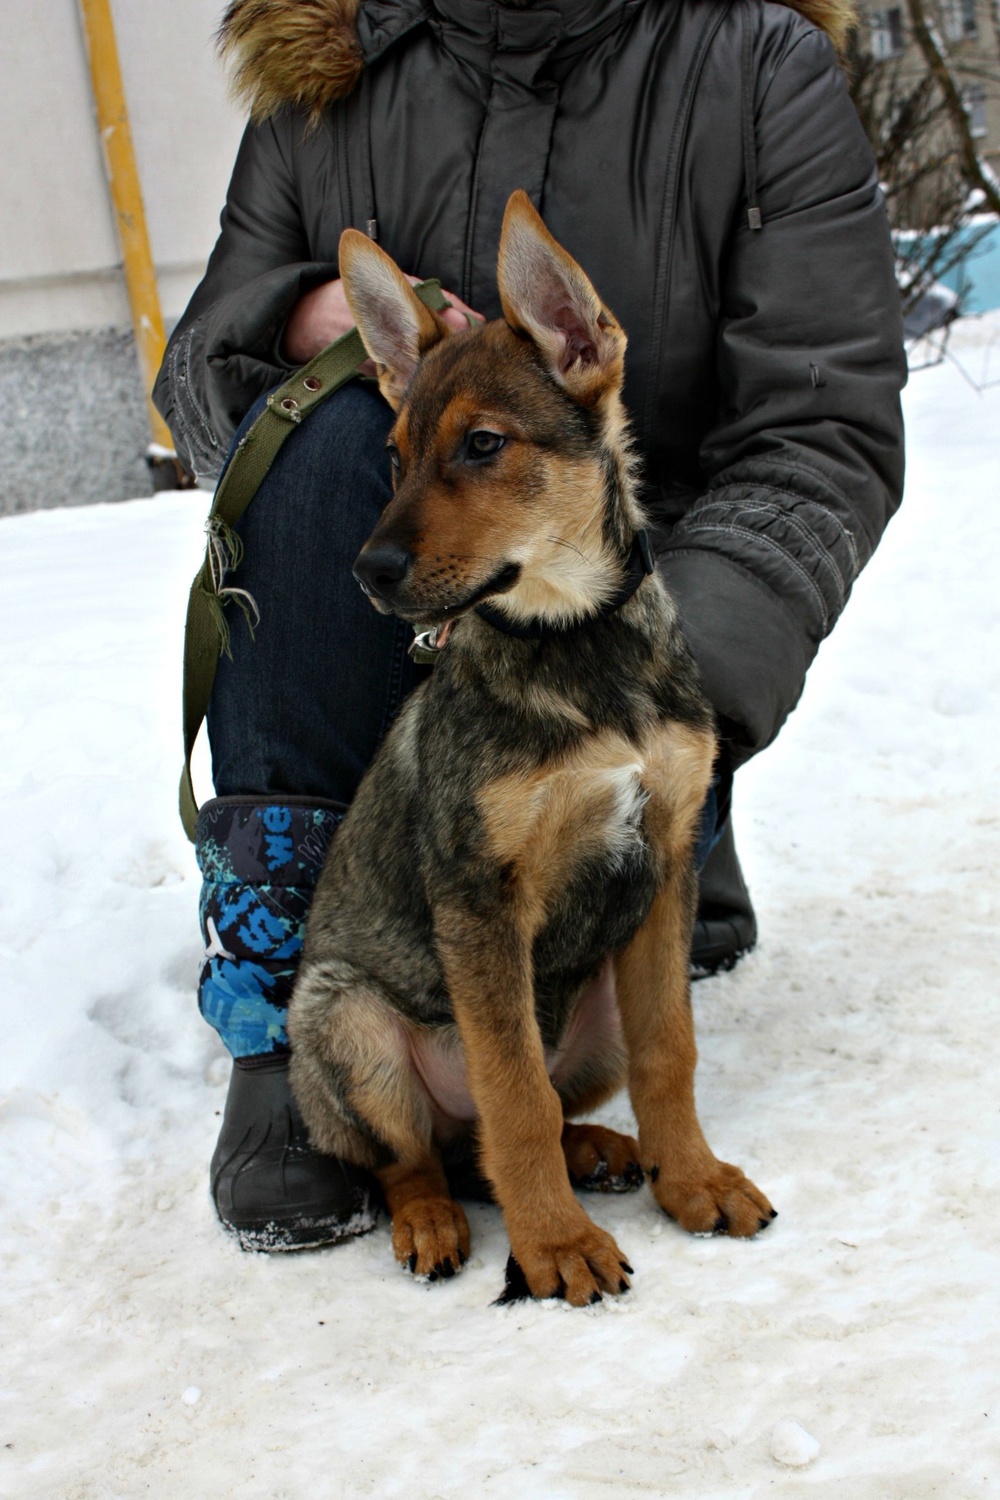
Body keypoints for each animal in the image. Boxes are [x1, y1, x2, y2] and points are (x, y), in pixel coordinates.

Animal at [289, 193, 773, 1308]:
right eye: (393, 456)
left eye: (481, 445)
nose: (369, 572)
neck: (574, 641)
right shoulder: (480, 899)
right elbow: (514, 1097)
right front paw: (553, 1246)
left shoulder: (663, 867)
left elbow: (670, 1053)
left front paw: (693, 1181)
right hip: (341, 1018)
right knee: (420, 1157)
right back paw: (434, 1223)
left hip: (593, 1009)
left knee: (504, 1132)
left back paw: (604, 1150)